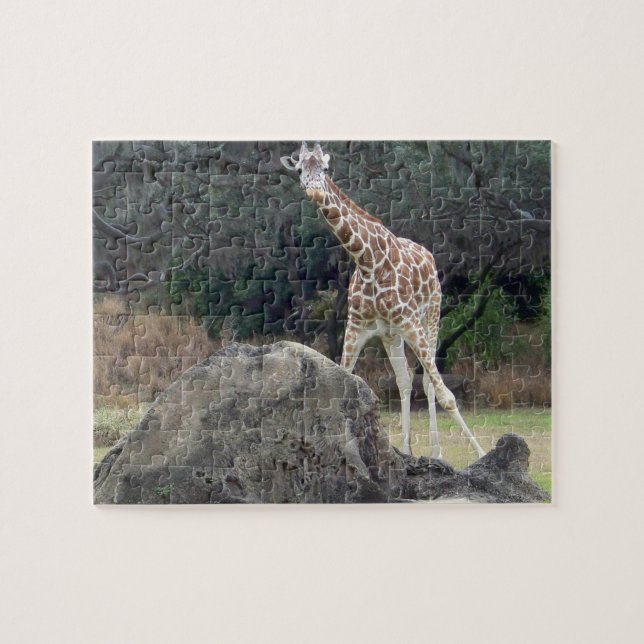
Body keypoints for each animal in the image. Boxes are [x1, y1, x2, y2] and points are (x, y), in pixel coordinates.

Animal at [281, 142, 485, 459]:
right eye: (300, 169)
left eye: (325, 169)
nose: (314, 192)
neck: (367, 260)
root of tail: (428, 255)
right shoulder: (356, 329)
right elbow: (345, 383)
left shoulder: (411, 321)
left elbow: (447, 396)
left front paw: (482, 454)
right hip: (392, 335)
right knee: (404, 381)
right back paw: (407, 450)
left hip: (430, 317)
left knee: (428, 382)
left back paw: (436, 453)